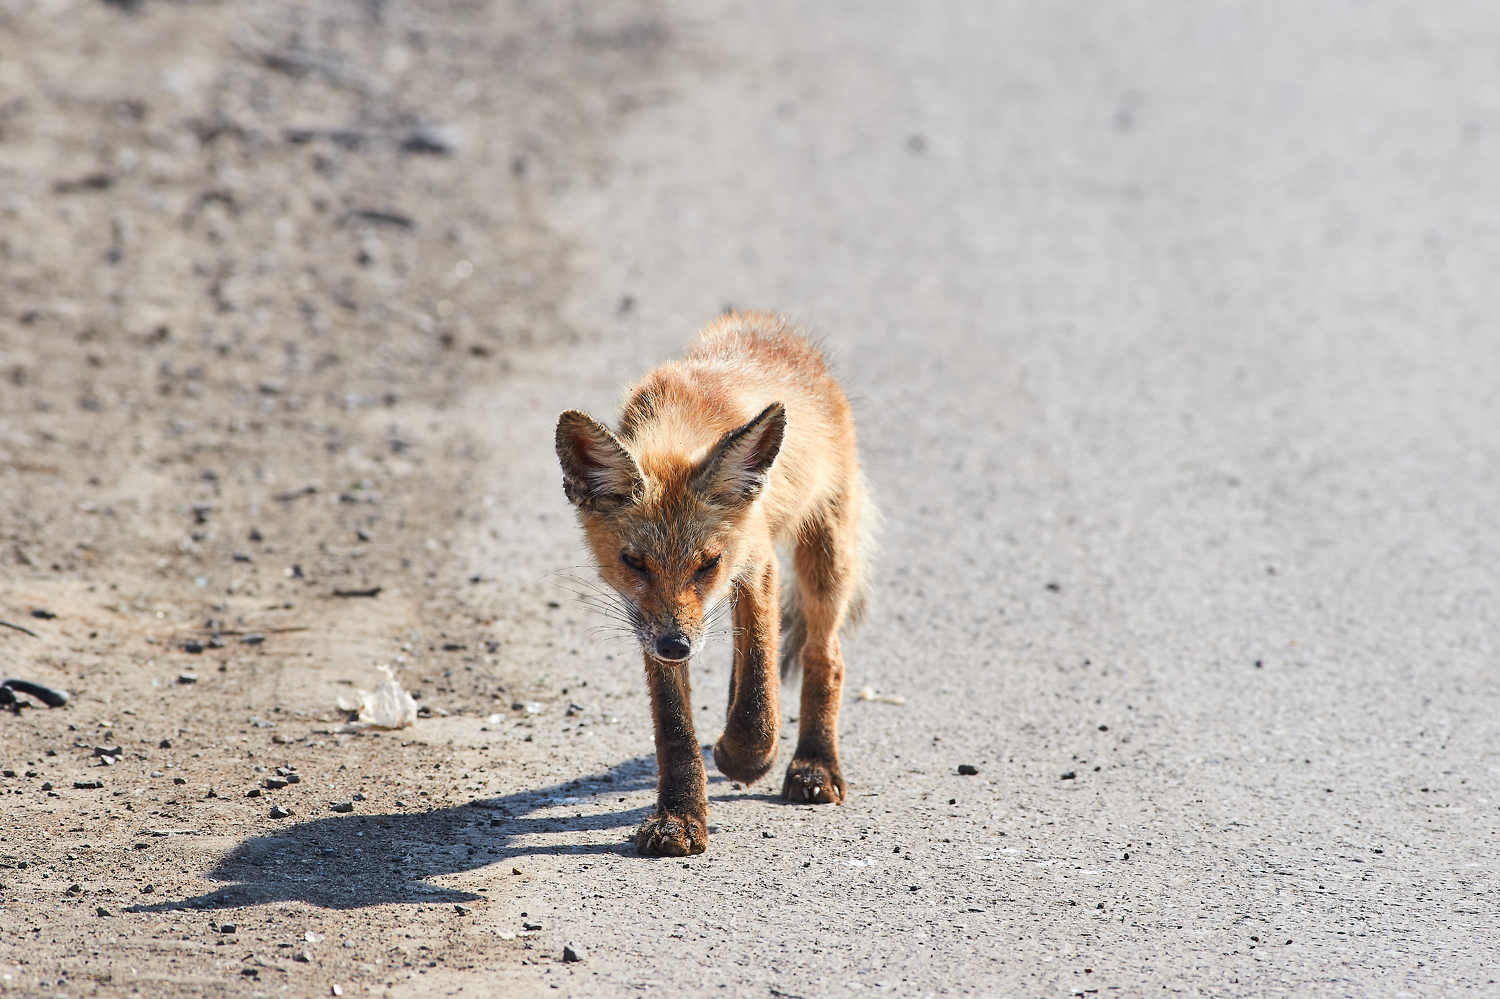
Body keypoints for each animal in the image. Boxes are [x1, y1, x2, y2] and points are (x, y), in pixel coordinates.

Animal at [555, 311, 876, 856]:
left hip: (825, 556)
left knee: (824, 658)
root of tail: (772, 329)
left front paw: (746, 754)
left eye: (707, 562)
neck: (682, 423)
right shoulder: (648, 622)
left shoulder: (754, 561)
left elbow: (760, 688)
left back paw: (814, 764)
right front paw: (680, 817)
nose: (677, 646)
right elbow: (674, 726)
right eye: (633, 562)